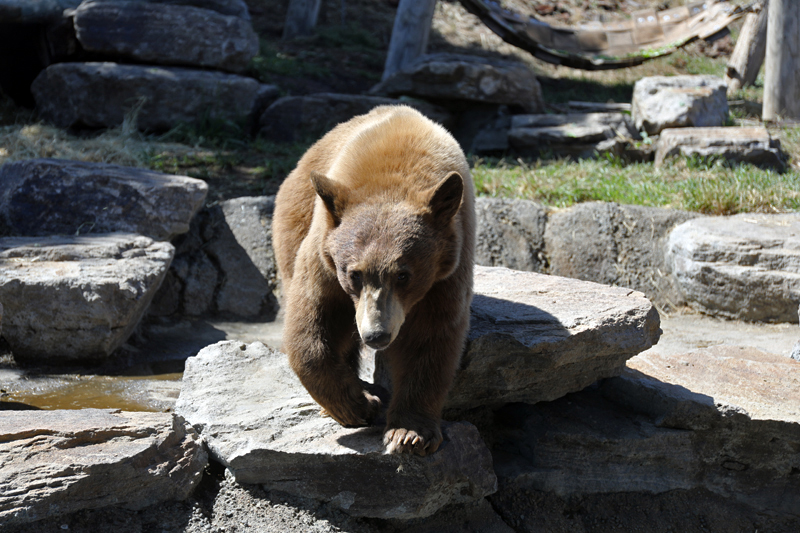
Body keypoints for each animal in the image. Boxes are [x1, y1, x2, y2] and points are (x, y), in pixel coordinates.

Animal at [273, 105, 475, 456]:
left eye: (404, 274)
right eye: (353, 273)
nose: (376, 335)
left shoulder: (445, 274)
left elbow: (430, 339)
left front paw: (409, 433)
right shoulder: (324, 255)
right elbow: (313, 317)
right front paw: (358, 404)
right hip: (295, 219)